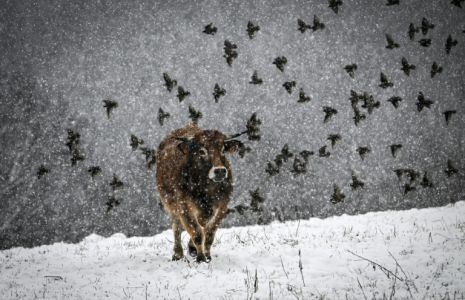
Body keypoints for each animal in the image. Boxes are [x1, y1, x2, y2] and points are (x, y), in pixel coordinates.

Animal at [157, 122, 241, 262]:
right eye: (202, 151)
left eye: (223, 150)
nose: (219, 171)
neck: (206, 189)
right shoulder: (184, 206)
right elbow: (196, 232)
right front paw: (201, 258)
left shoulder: (222, 206)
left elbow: (209, 234)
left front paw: (207, 256)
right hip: (171, 207)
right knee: (177, 228)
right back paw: (178, 254)